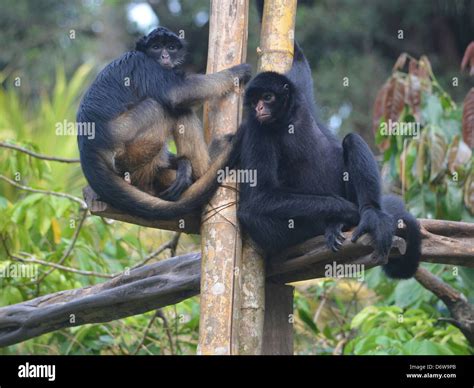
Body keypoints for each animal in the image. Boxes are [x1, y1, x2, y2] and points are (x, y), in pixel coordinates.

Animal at [77, 26, 252, 220]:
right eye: (156, 47)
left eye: (170, 47)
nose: (165, 56)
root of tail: (88, 147)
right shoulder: (144, 63)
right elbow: (178, 94)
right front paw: (237, 72)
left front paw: (182, 165)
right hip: (125, 141)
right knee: (168, 108)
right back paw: (203, 170)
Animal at [234, 0, 422, 278]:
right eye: (255, 100)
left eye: (267, 97)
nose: (258, 108)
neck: (287, 119)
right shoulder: (257, 130)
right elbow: (259, 196)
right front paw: (345, 210)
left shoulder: (299, 87)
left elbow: (298, 54)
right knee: (250, 214)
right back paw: (336, 222)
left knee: (352, 140)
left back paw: (369, 216)